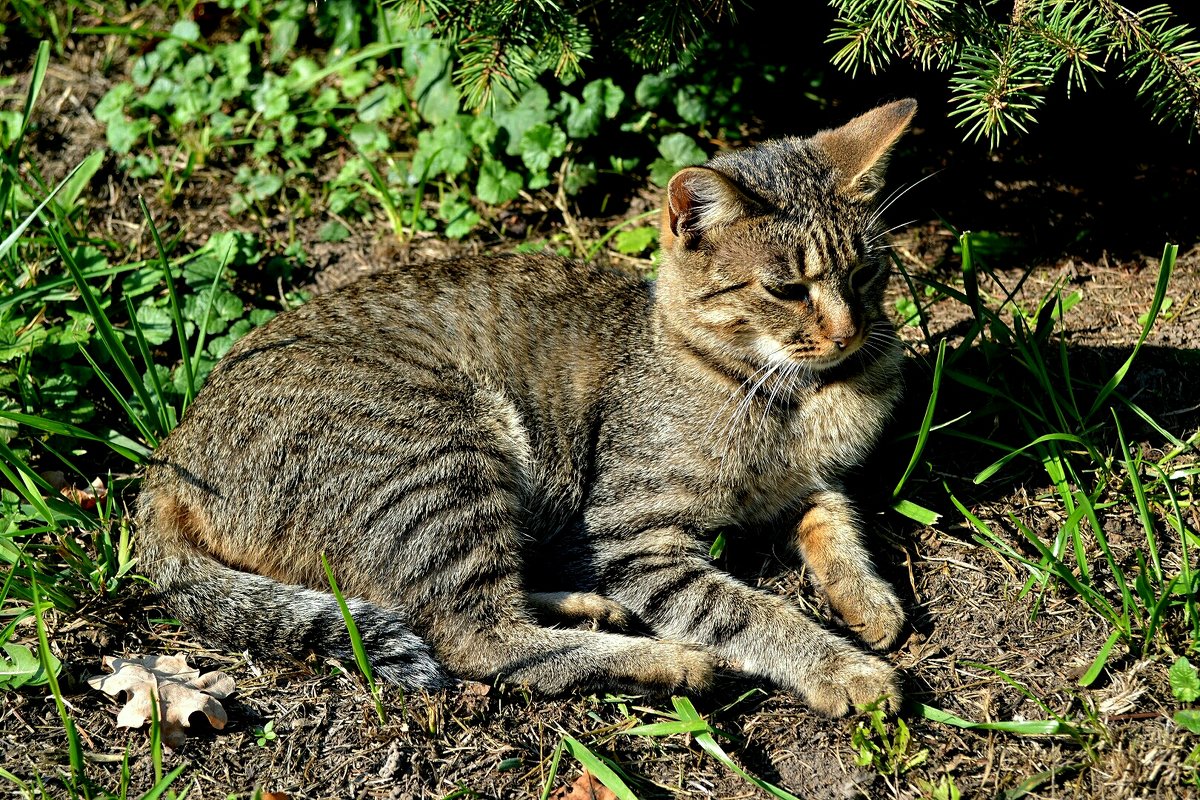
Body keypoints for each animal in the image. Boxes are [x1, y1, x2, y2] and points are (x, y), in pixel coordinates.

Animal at [133, 97, 916, 714]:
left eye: (867, 272)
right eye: (786, 290)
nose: (848, 331)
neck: (796, 395)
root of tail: (169, 458)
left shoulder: (806, 485)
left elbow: (836, 520)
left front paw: (867, 599)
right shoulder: (629, 535)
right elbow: (749, 612)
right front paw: (843, 668)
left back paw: (588, 607)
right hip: (446, 458)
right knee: (476, 635)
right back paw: (665, 660)